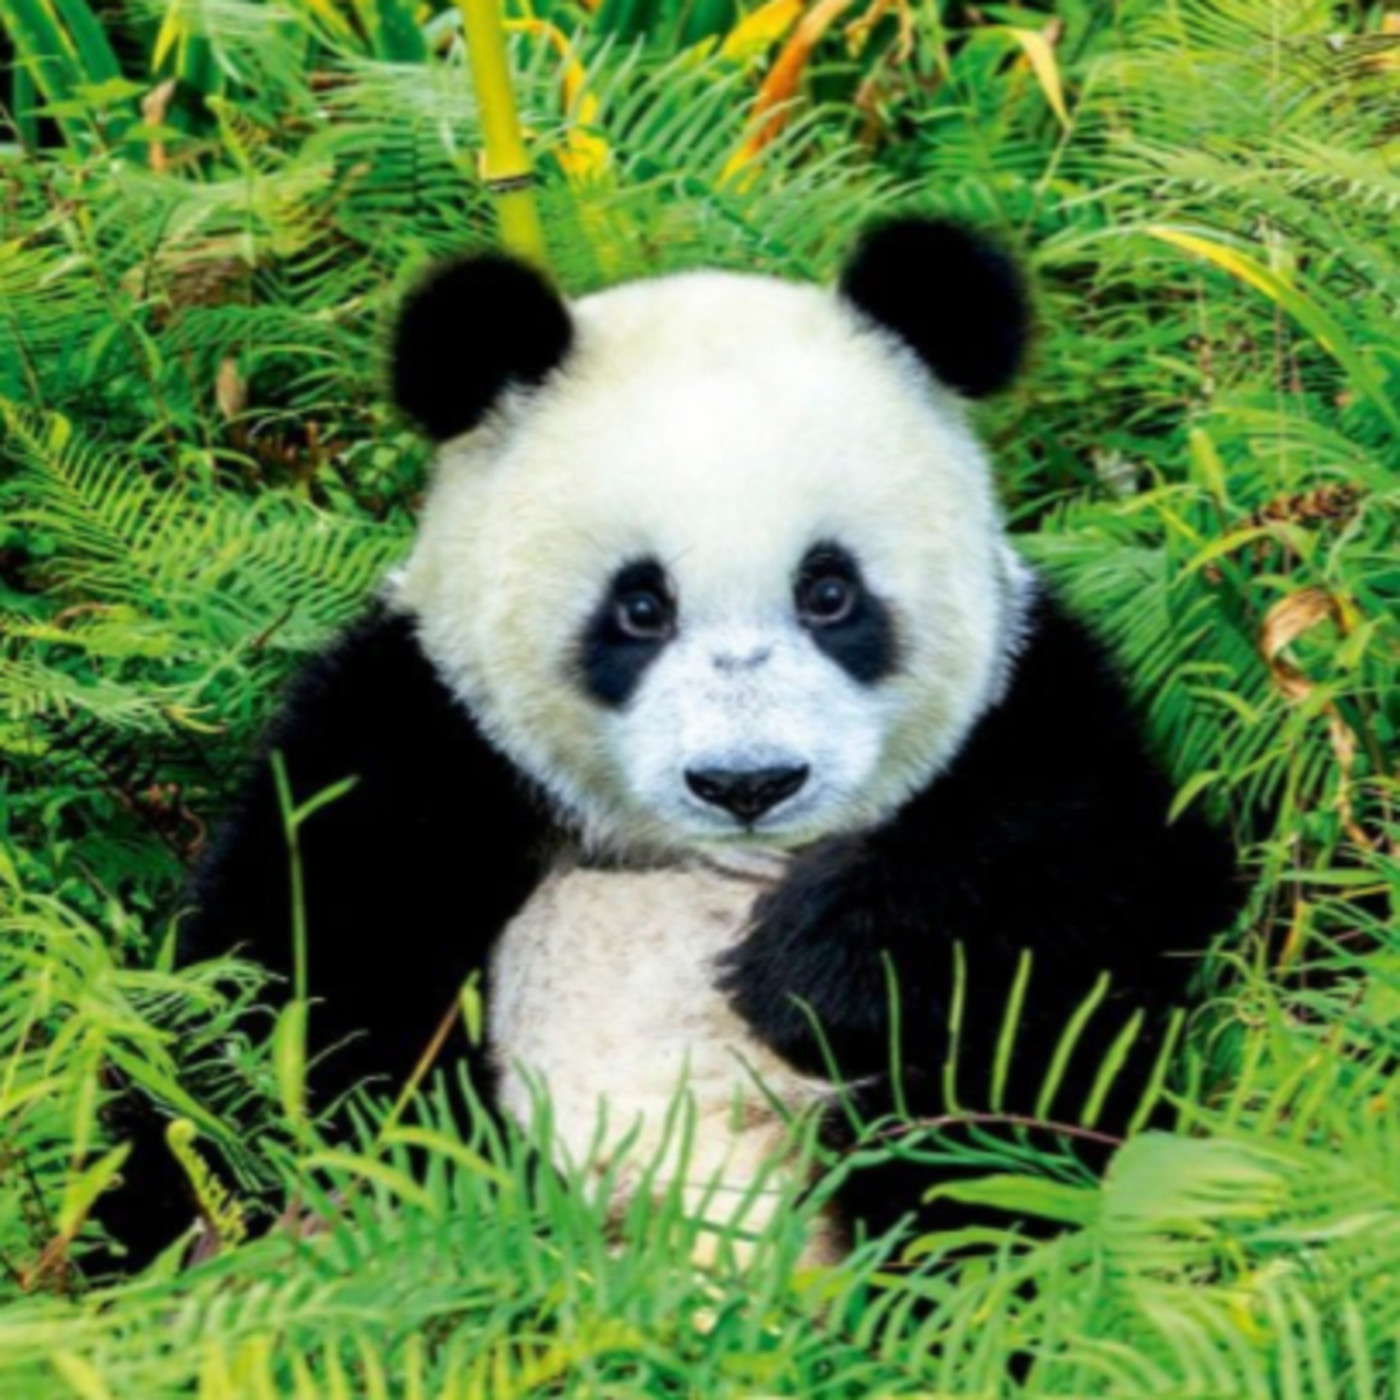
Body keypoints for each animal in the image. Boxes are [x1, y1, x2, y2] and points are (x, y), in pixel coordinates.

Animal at [108, 217, 1240, 1269]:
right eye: (639, 607)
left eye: (829, 593)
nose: (748, 781)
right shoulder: (421, 733)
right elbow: (269, 993)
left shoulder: (1032, 706)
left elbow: (1100, 886)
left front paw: (809, 959)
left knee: (989, 1135)